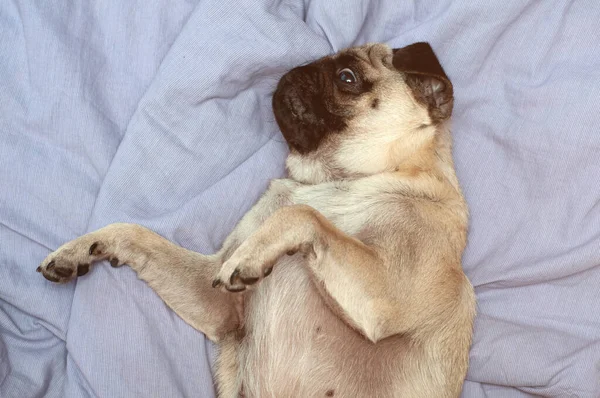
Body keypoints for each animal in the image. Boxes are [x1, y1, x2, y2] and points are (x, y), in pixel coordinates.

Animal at [38, 42, 478, 396]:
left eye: (347, 77)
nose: (298, 70)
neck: (337, 181)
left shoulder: (385, 298)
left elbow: (300, 214)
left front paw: (253, 254)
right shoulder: (218, 303)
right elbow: (137, 233)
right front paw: (81, 248)